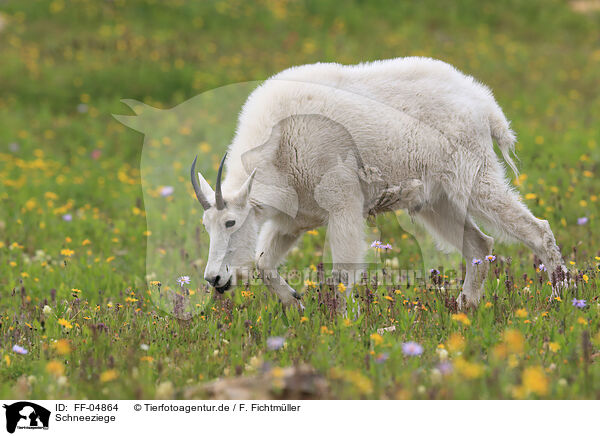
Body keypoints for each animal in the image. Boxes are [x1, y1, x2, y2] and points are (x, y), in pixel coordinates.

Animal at [191, 57, 564, 310]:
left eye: (231, 222)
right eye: (206, 227)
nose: (215, 279)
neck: (280, 145)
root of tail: (486, 107)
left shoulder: (343, 203)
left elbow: (342, 276)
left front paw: (341, 327)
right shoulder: (294, 220)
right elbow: (263, 264)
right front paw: (295, 301)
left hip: (474, 176)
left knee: (537, 231)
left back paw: (561, 300)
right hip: (436, 200)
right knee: (479, 244)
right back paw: (465, 307)